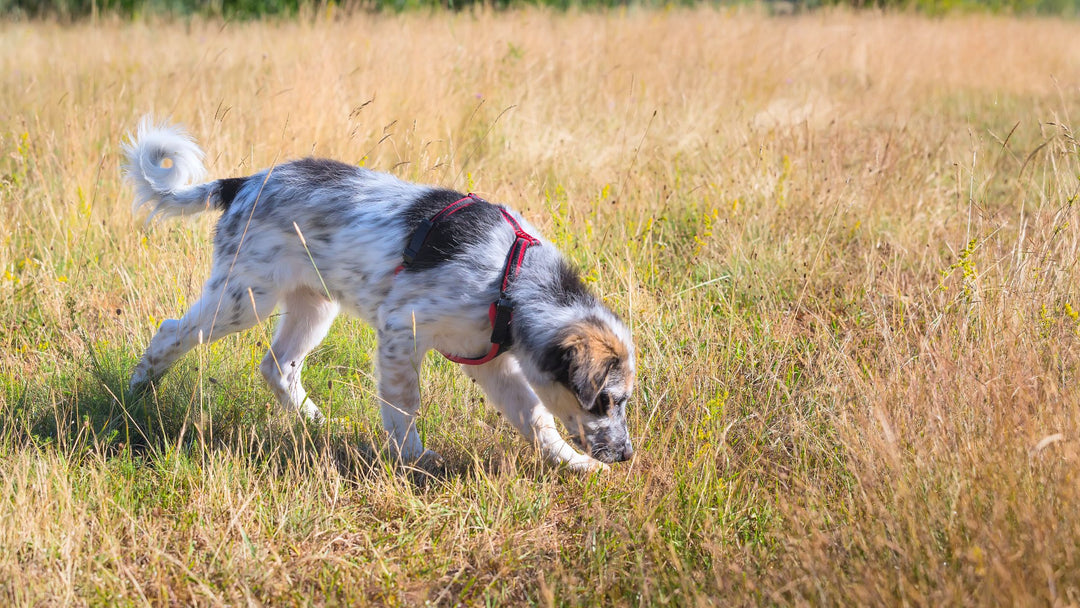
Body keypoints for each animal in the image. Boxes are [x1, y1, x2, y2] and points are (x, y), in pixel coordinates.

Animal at [123, 116, 635, 473]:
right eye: (607, 401)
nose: (628, 455)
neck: (510, 278)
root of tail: (242, 184)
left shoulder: (489, 360)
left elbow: (535, 418)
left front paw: (573, 464)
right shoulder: (400, 332)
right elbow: (404, 405)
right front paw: (416, 461)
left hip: (313, 306)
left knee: (278, 366)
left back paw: (316, 423)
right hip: (243, 299)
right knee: (171, 332)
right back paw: (137, 392)